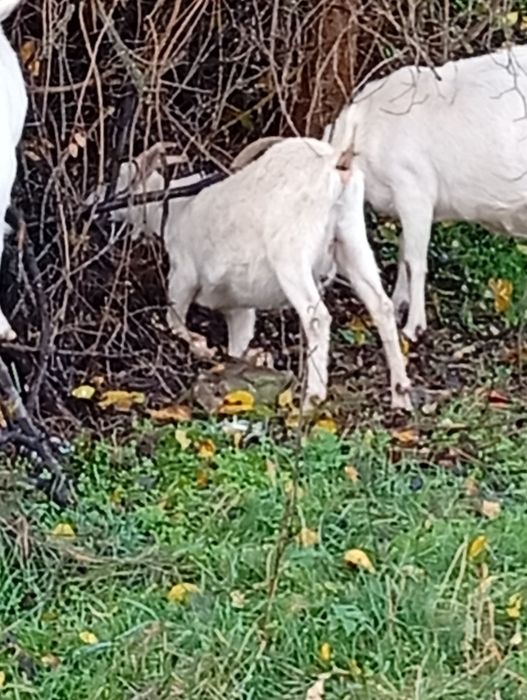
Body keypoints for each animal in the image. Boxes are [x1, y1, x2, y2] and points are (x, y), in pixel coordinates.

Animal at [106, 138, 412, 410]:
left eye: (123, 182)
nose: (103, 209)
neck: (172, 209)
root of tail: (338, 165)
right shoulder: (239, 307)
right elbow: (237, 345)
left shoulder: (183, 275)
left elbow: (175, 320)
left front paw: (200, 346)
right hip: (351, 239)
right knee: (381, 305)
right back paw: (401, 396)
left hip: (291, 251)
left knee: (317, 317)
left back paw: (312, 400)